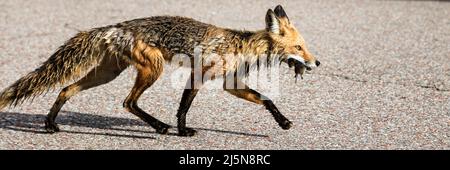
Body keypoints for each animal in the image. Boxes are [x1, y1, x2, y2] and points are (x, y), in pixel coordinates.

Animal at [0, 4, 320, 136]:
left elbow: (266, 99)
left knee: (66, 89)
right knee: (128, 102)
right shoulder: (199, 74)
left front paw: (282, 122)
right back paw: (159, 127)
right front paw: (181, 131)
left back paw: (50, 123)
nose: (317, 63)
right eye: (299, 47)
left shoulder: (230, 84)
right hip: (151, 70)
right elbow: (183, 107)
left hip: (108, 73)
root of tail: (114, 27)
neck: (240, 45)